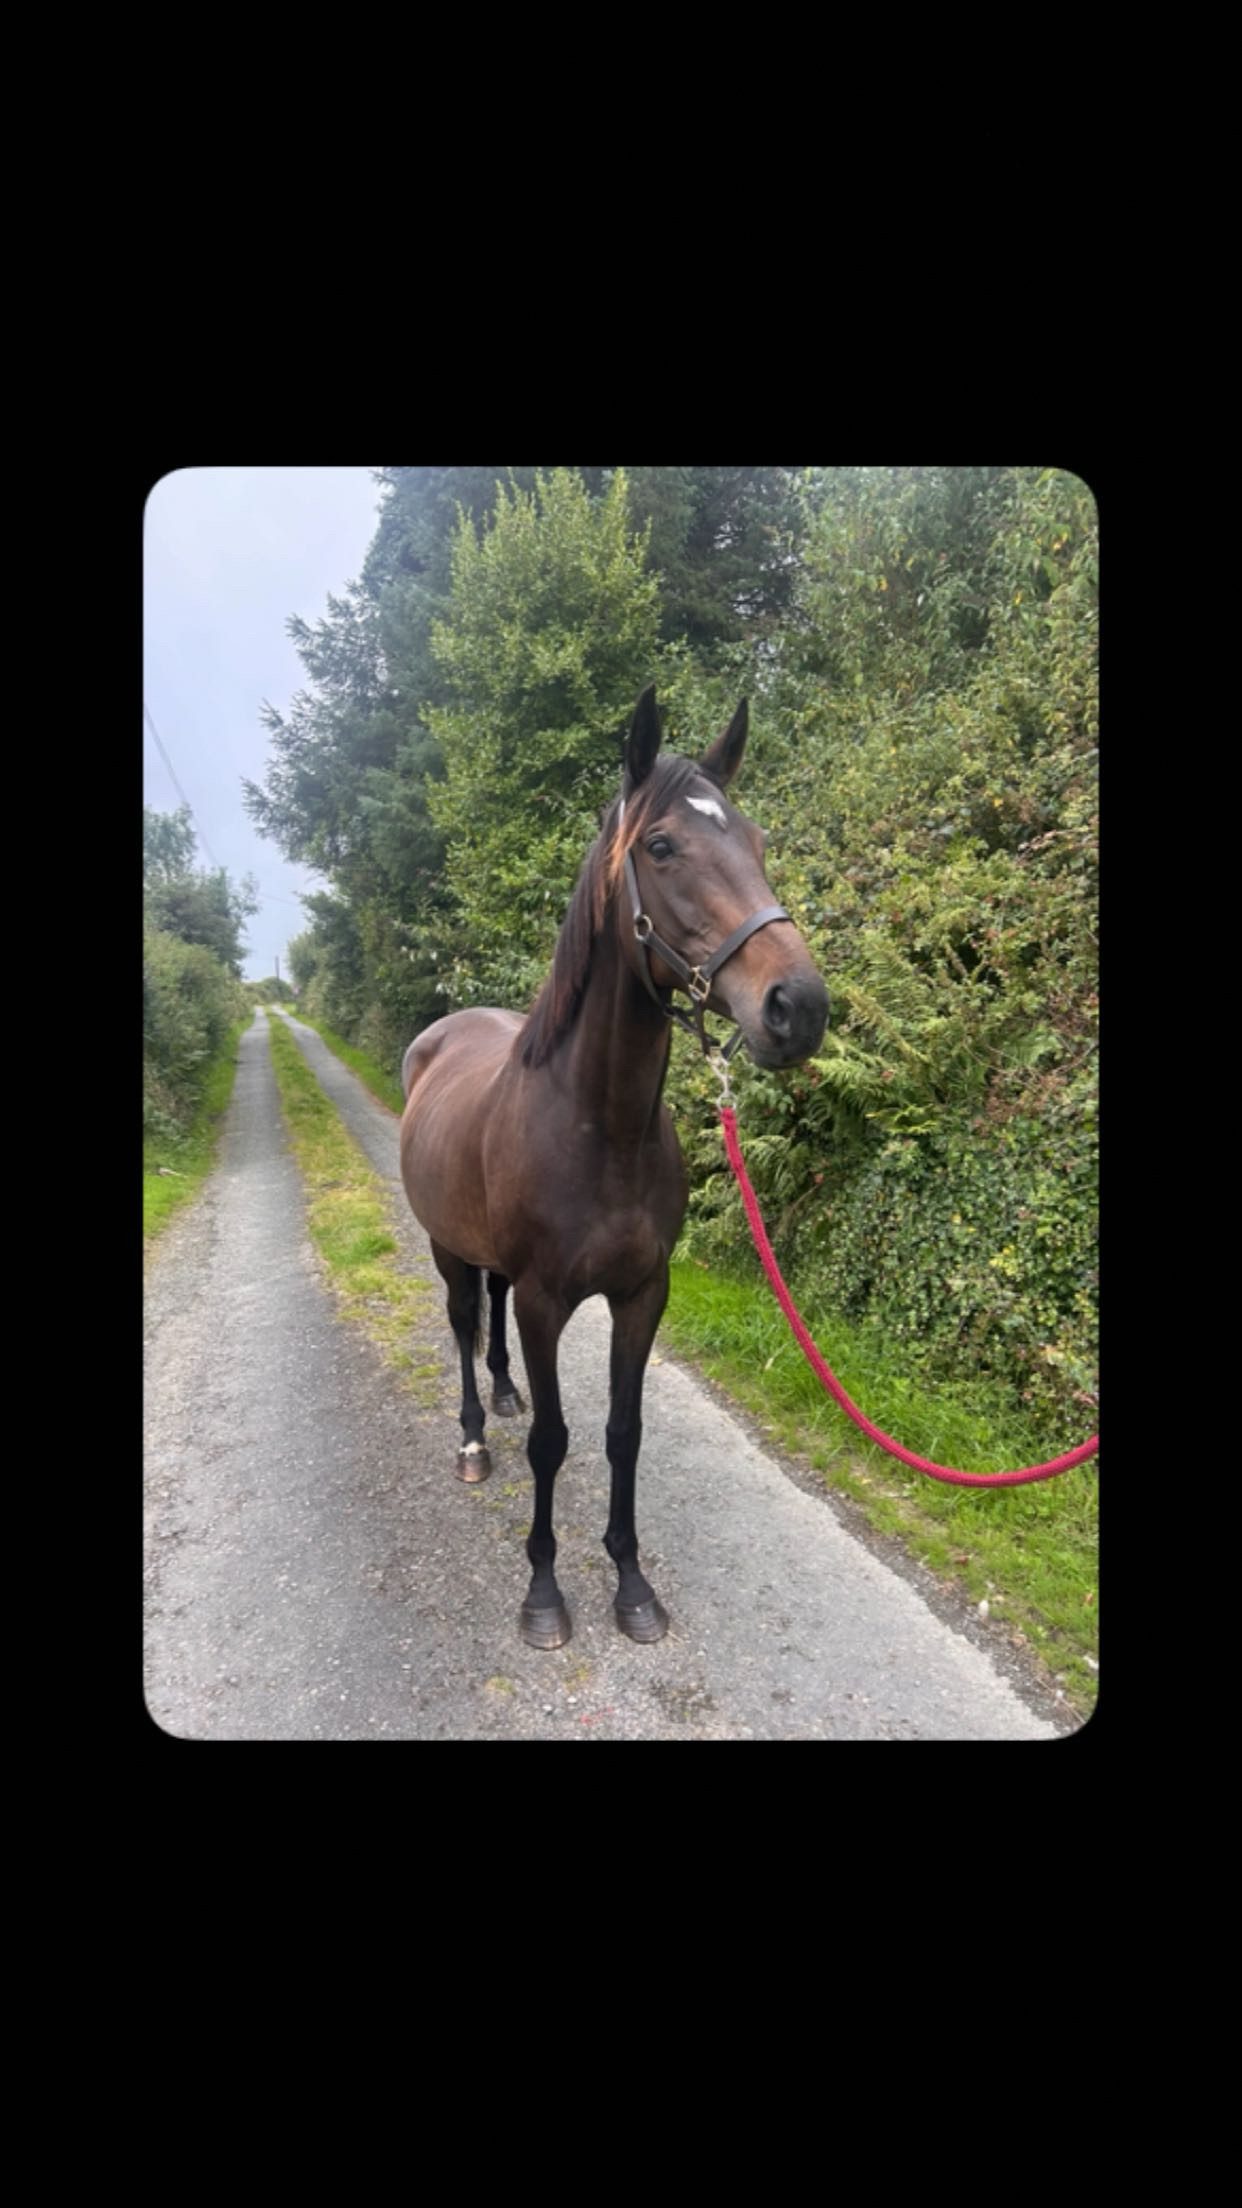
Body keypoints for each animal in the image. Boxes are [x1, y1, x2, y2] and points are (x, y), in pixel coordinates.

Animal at [399, 684, 829, 1649]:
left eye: (757, 843)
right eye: (662, 846)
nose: (799, 1006)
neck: (599, 1130)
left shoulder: (641, 1294)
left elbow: (624, 1432)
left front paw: (632, 1584)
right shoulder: (547, 1302)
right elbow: (554, 1442)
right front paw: (544, 1592)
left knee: (486, 1318)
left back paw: (504, 1395)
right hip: (448, 1247)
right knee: (461, 1320)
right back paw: (475, 1438)